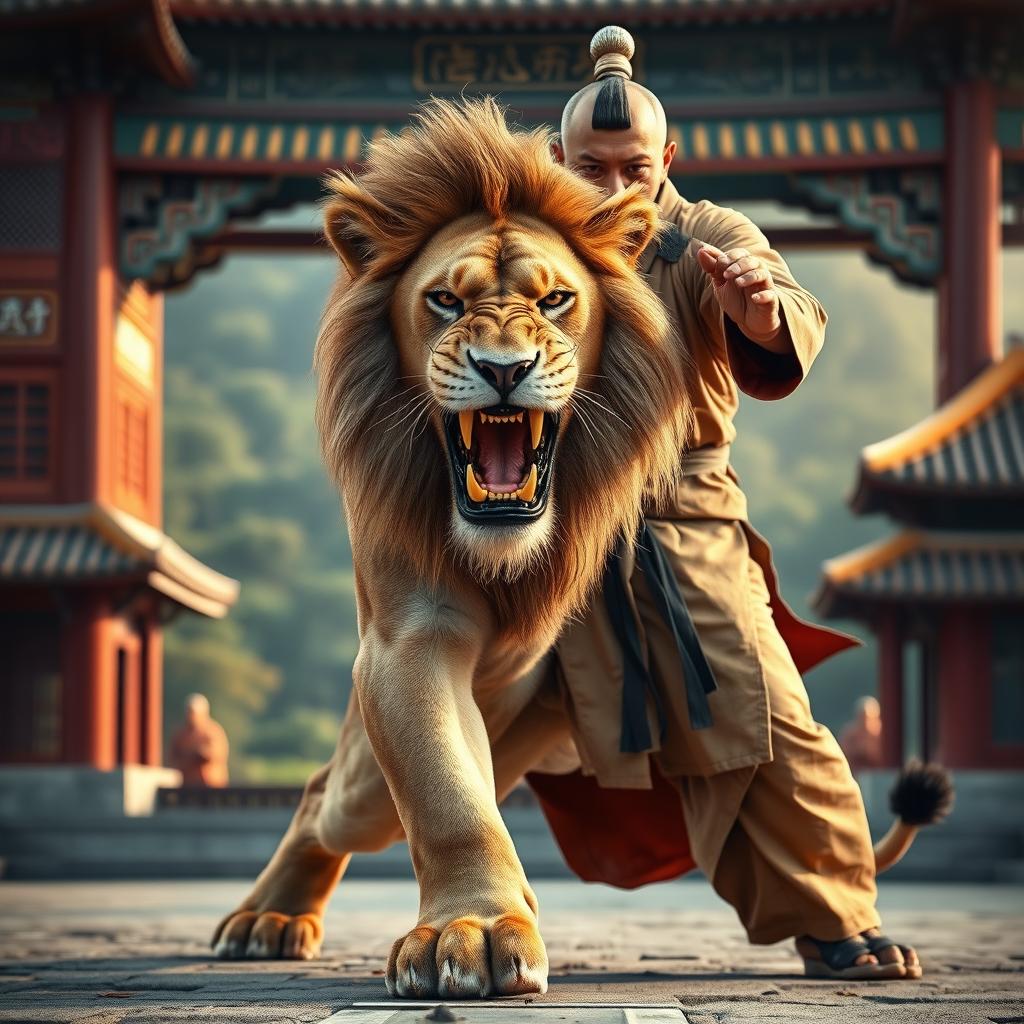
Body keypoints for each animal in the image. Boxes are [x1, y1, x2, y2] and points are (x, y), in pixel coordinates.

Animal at [211, 96, 691, 998]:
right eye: (442, 299)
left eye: (556, 299)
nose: (504, 367)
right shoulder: (407, 640)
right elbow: (447, 798)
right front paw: (471, 930)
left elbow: (465, 800)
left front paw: (490, 926)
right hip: (376, 783)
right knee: (327, 794)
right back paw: (266, 919)